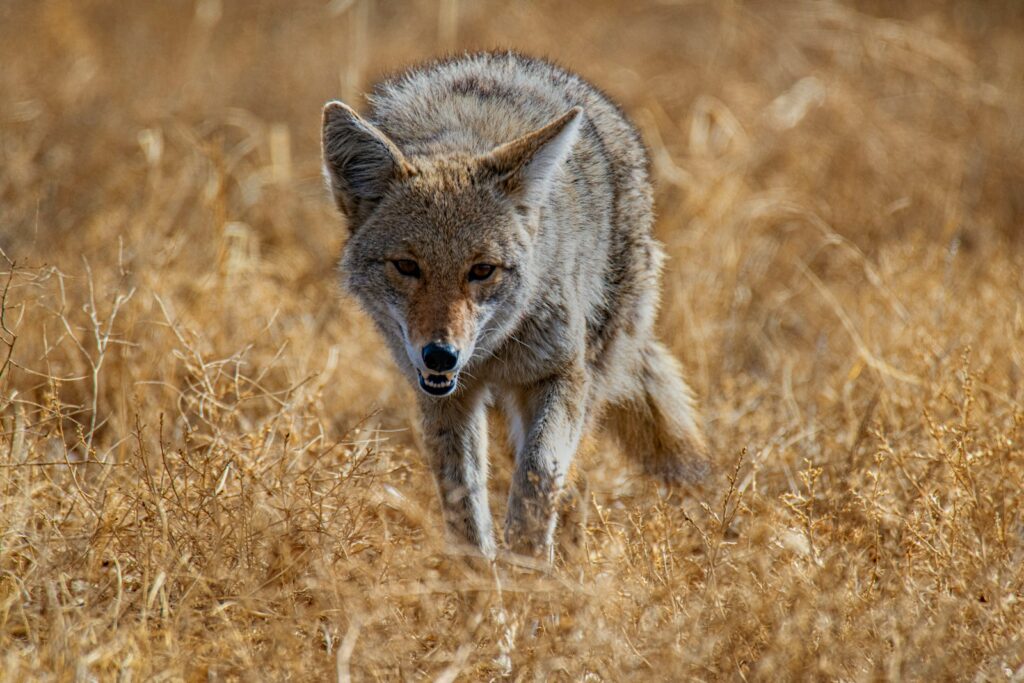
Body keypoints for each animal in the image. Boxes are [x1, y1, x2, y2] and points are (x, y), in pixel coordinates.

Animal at [321, 51, 709, 560]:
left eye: (481, 270)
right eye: (407, 266)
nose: (440, 355)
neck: (491, 354)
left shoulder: (561, 375)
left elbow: (539, 475)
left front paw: (527, 567)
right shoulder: (446, 397)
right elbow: (462, 497)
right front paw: (477, 573)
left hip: (590, 377)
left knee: (573, 477)